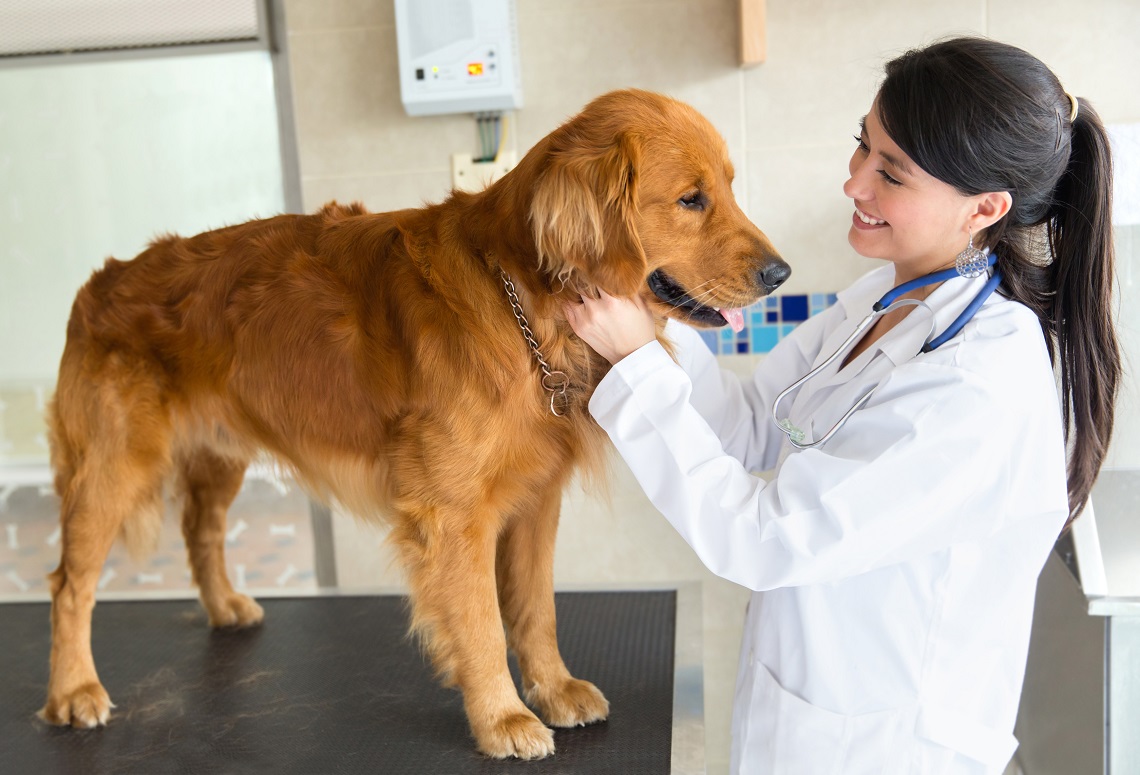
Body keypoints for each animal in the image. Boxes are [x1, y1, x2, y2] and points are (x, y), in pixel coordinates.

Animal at [46, 89, 793, 756]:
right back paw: (74, 689)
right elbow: (482, 621)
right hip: (113, 468)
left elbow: (536, 608)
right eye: (691, 199)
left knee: (199, 529)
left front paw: (552, 688)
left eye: (729, 187)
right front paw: (503, 717)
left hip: (217, 457)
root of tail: (99, 281)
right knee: (70, 585)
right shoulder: (453, 513)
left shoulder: (535, 500)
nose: (781, 272)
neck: (522, 303)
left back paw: (224, 604)